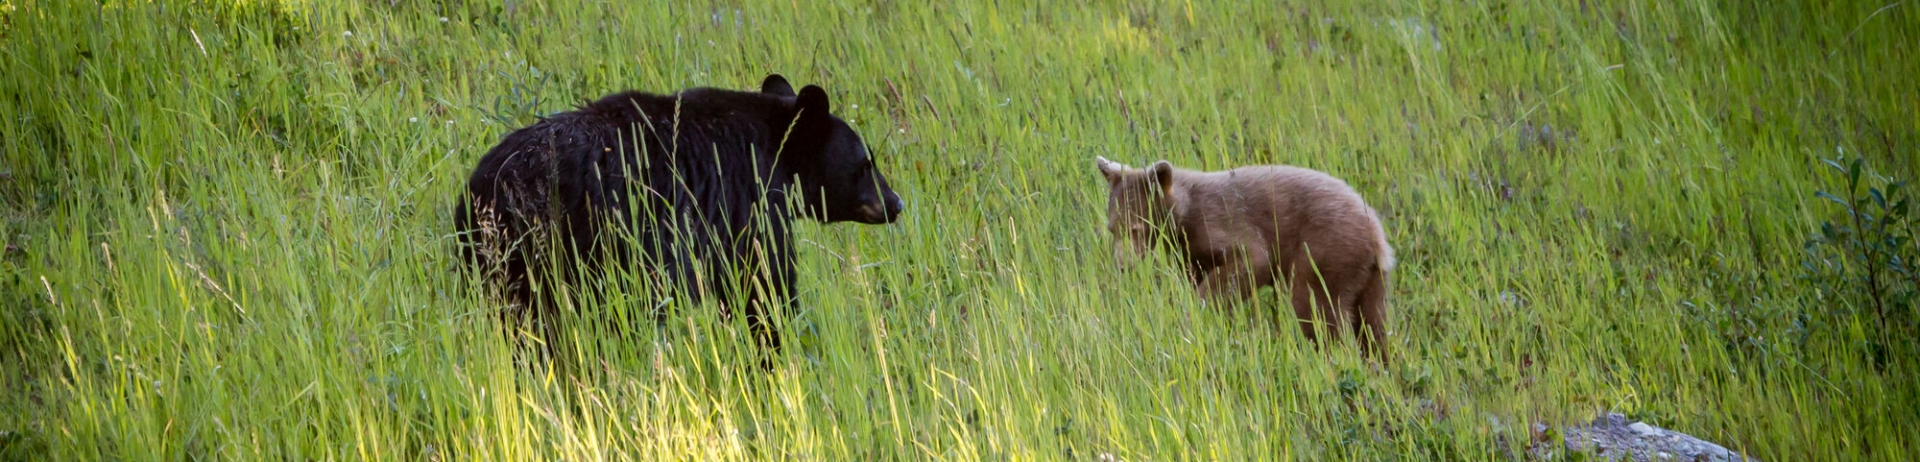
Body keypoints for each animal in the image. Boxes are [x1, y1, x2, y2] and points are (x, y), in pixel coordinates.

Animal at [457, 74, 903, 355]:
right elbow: (762, 284)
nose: (896, 202)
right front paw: (774, 349)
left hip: (499, 261)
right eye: (866, 162)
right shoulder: (747, 204)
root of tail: (493, 187)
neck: (772, 151)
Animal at [1094, 156, 1394, 360]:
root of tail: (1378, 237)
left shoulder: (1219, 220)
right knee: (1373, 324)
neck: (1182, 213)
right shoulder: (1189, 251)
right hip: (1367, 275)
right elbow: (1195, 274)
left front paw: (1198, 313)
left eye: (1136, 228)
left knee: (1314, 306)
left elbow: (1250, 260)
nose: (1123, 265)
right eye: (1112, 228)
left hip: (1327, 249)